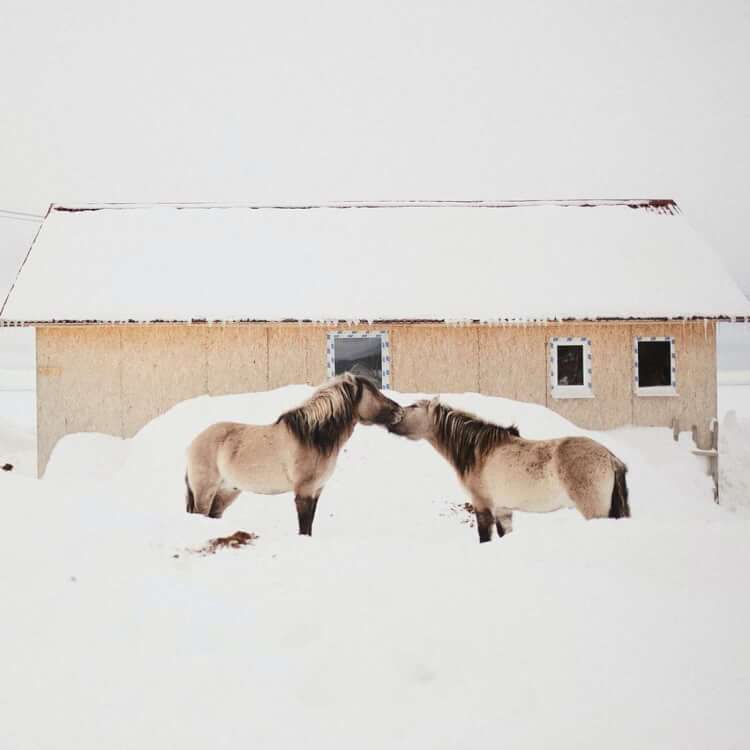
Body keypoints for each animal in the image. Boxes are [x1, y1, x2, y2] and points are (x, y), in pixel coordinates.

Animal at [184, 374, 402, 536]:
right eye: (374, 393)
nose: (399, 412)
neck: (311, 437)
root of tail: (193, 443)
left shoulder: (316, 491)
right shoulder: (304, 492)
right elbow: (304, 527)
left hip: (227, 490)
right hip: (205, 490)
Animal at [390, 396, 632, 544]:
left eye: (414, 407)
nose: (393, 418)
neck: (478, 450)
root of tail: (611, 458)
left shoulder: (483, 506)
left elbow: (484, 537)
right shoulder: (504, 511)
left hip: (594, 510)